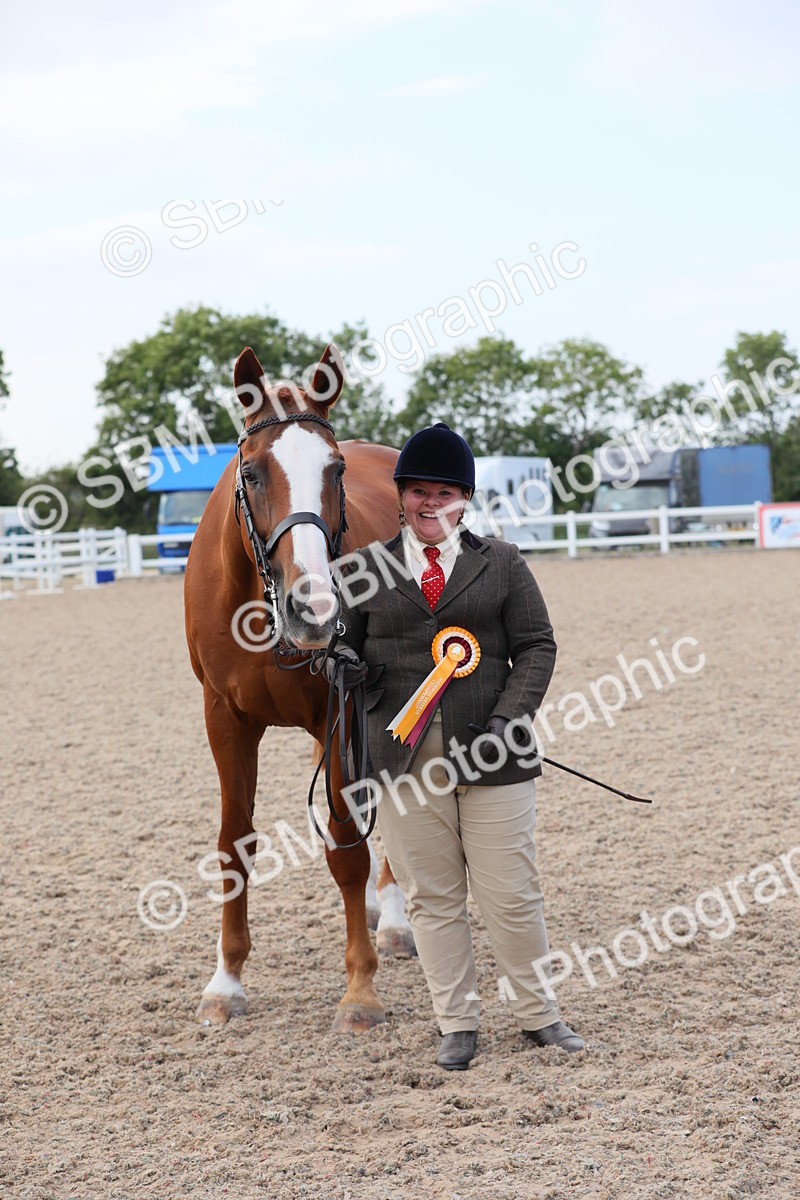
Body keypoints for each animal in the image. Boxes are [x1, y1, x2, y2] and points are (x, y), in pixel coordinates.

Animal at [184, 344, 413, 1031]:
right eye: (253, 472)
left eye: (335, 471)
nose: (312, 605)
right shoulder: (224, 718)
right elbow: (234, 845)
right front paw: (226, 982)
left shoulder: (338, 709)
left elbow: (345, 850)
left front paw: (360, 990)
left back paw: (395, 919)